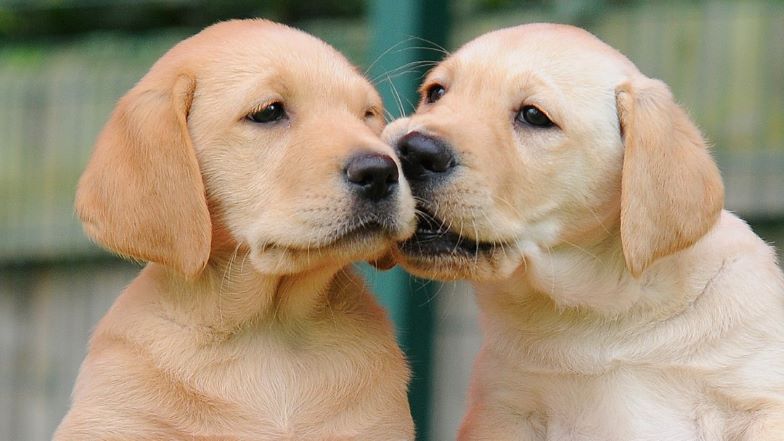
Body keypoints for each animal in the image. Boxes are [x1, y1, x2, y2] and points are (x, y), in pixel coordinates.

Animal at [384, 23, 784, 440]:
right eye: (435, 93)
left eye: (534, 116)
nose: (413, 150)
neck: (601, 312)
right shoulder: (503, 410)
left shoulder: (762, 400)